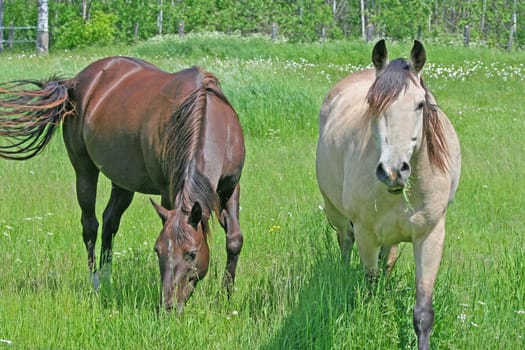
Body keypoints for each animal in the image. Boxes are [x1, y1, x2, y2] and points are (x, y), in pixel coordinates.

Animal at [0, 56, 245, 314]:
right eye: (158, 251)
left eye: (192, 253)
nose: (167, 306)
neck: (207, 116)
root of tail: (75, 82)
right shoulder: (168, 192)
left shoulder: (230, 189)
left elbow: (234, 240)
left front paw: (226, 296)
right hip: (84, 169)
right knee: (90, 226)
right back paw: (96, 282)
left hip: (123, 181)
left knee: (109, 222)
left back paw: (108, 278)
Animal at [316, 39, 458, 348]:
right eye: (373, 104)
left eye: (420, 104)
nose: (393, 171)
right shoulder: (366, 234)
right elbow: (370, 288)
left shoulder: (430, 235)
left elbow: (423, 312)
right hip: (337, 215)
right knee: (345, 242)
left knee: (388, 258)